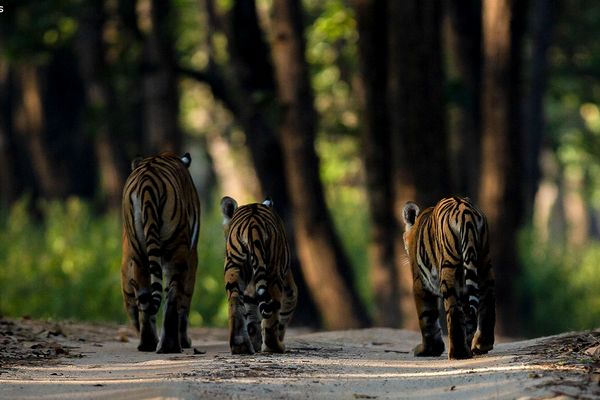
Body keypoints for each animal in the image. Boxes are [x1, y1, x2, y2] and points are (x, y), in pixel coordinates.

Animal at [120, 151, 202, 354]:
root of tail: (148, 180)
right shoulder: (192, 255)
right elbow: (185, 299)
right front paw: (185, 340)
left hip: (139, 254)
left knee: (144, 296)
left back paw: (148, 343)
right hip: (177, 250)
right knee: (172, 294)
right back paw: (170, 346)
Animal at [220, 195, 298, 354]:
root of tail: (253, 224)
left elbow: (251, 314)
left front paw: (254, 342)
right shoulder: (289, 284)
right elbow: (285, 312)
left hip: (233, 268)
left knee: (235, 302)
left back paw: (240, 346)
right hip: (273, 274)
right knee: (272, 314)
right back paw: (275, 347)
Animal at [404, 196, 496, 360]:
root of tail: (465, 211)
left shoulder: (419, 283)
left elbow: (427, 317)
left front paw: (428, 349)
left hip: (449, 266)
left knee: (454, 309)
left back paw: (458, 353)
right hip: (484, 260)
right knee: (487, 298)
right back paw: (481, 344)